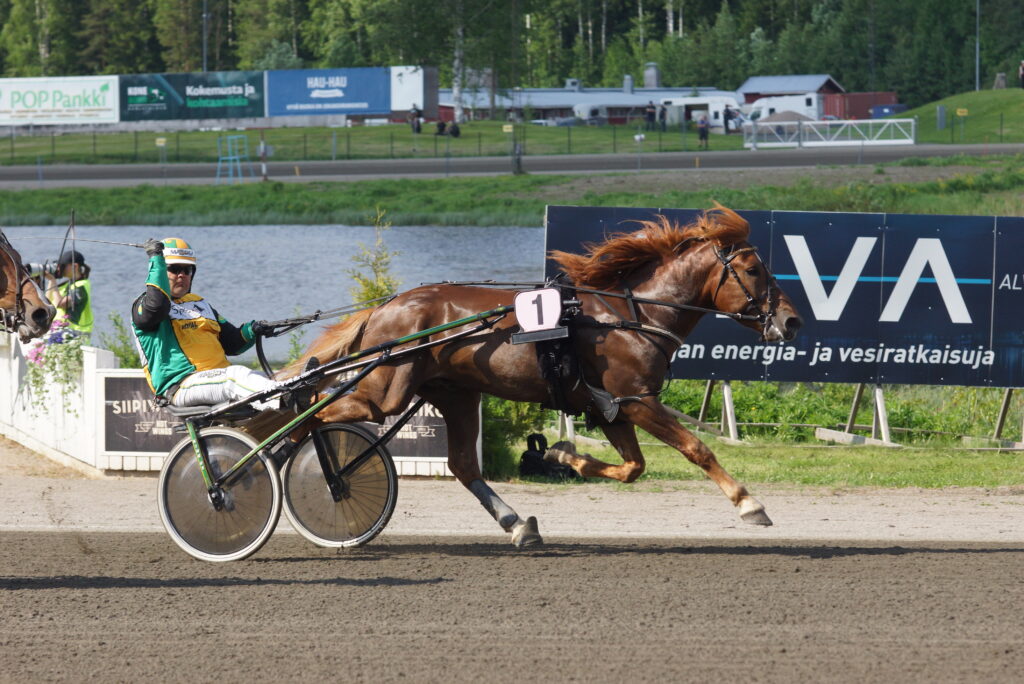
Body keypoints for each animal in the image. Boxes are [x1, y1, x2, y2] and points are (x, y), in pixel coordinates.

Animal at [286, 205, 798, 548]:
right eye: (753, 269)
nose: (791, 321)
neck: (631, 316)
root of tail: (387, 307)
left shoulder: (611, 408)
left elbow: (633, 467)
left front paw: (560, 455)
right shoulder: (636, 400)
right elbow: (696, 448)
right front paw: (750, 504)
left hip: (456, 393)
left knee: (463, 465)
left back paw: (518, 526)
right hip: (388, 391)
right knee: (314, 414)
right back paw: (313, 464)